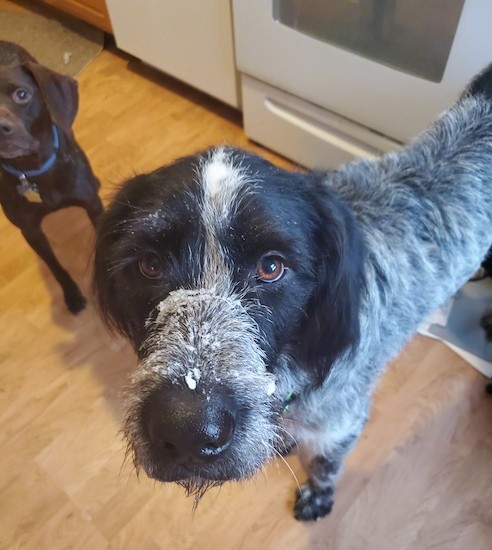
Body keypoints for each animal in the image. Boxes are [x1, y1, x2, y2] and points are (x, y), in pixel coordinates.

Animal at [0, 40, 103, 312]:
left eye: (21, 94)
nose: (1, 128)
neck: (33, 169)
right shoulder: (31, 231)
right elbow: (55, 266)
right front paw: (72, 294)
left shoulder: (92, 205)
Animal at [95, 66, 492, 520]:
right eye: (150, 264)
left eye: (271, 267)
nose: (190, 431)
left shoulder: (341, 423)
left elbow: (324, 464)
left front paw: (318, 496)